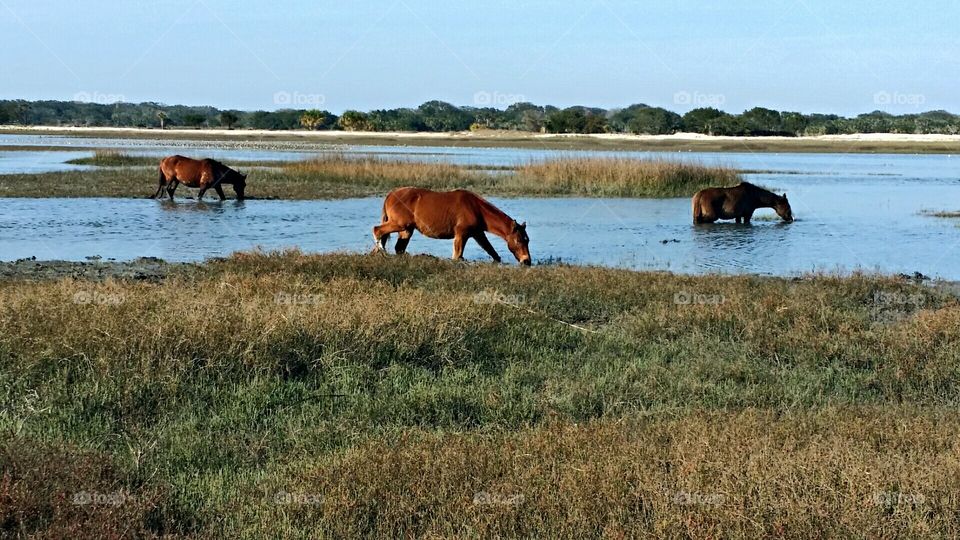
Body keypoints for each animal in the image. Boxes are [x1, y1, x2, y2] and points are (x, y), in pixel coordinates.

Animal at [372, 188, 532, 266]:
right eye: (519, 240)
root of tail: (390, 195)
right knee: (377, 230)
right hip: (399, 224)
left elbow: (491, 250)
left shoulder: (478, 233)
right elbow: (457, 255)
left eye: (527, 240)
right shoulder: (461, 234)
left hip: (406, 230)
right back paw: (382, 251)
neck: (476, 208)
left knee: (398, 247)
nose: (527, 261)